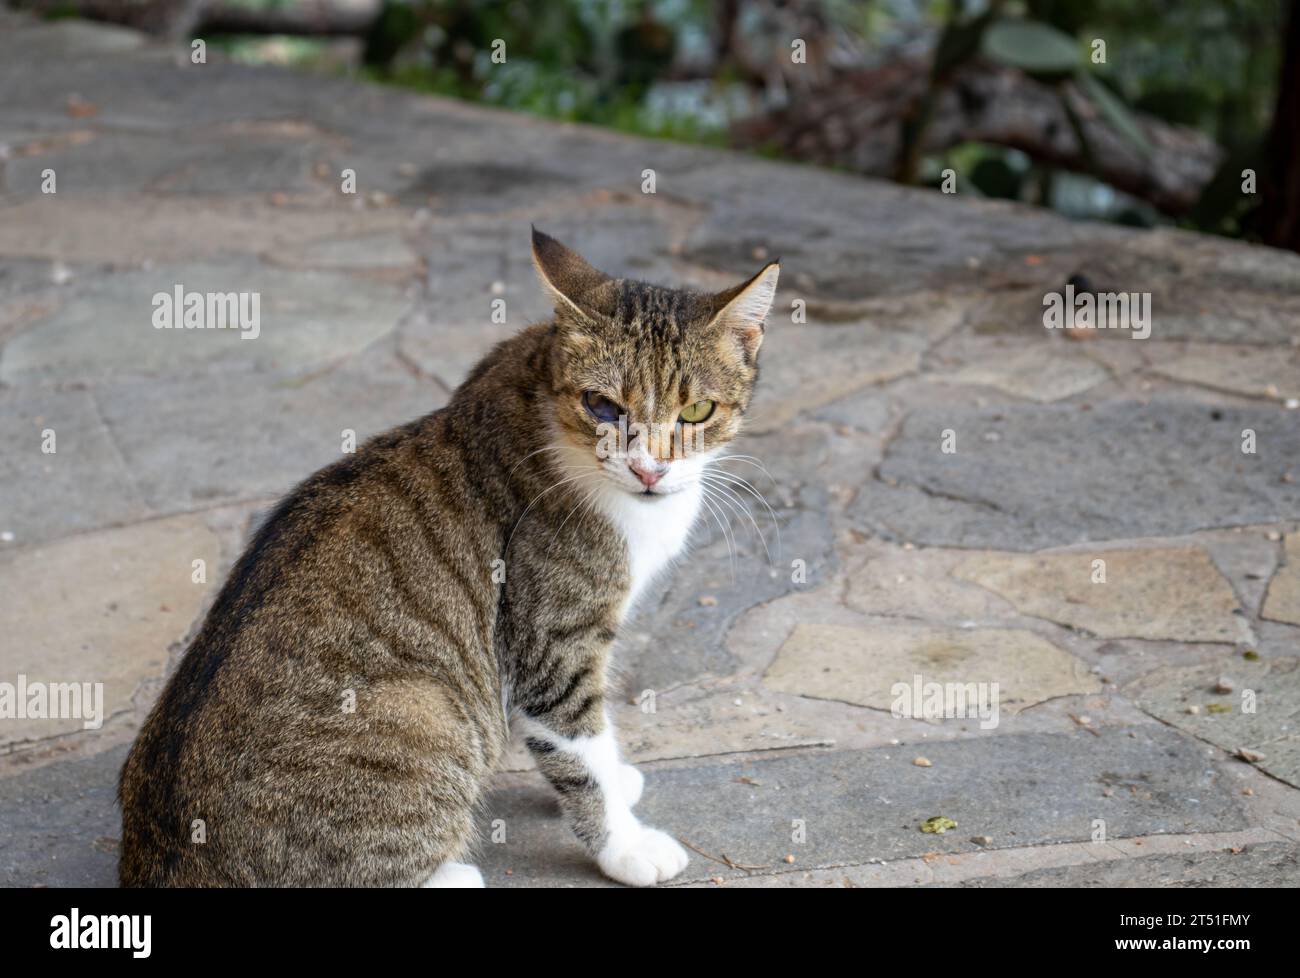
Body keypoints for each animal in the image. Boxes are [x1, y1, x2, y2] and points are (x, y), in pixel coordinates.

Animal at [116, 228, 774, 884]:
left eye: (697, 412)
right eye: (603, 406)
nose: (649, 470)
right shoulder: (552, 641)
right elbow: (579, 751)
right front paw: (626, 845)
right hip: (423, 708)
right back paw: (456, 872)